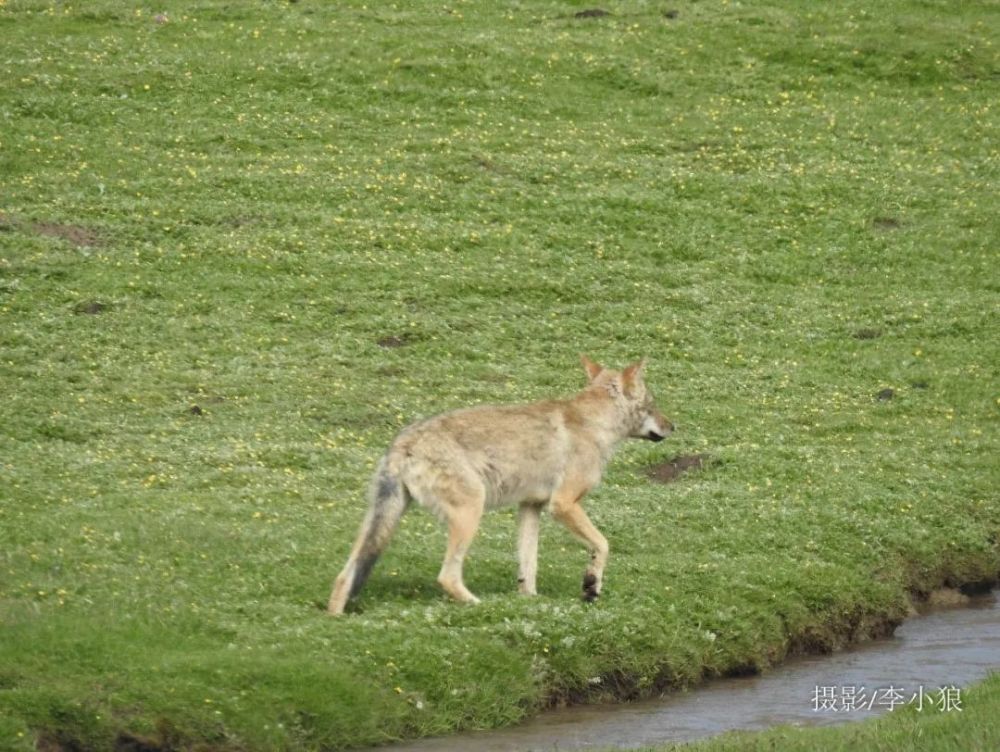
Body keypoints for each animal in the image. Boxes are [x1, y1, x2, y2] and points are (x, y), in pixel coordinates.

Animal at [328, 356, 672, 612]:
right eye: (653, 404)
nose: (674, 426)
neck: (593, 422)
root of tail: (403, 442)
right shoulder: (563, 504)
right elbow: (602, 544)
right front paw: (590, 586)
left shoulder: (531, 506)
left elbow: (528, 565)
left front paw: (530, 601)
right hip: (470, 511)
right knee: (447, 577)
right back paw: (478, 605)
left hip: (381, 525)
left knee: (344, 578)